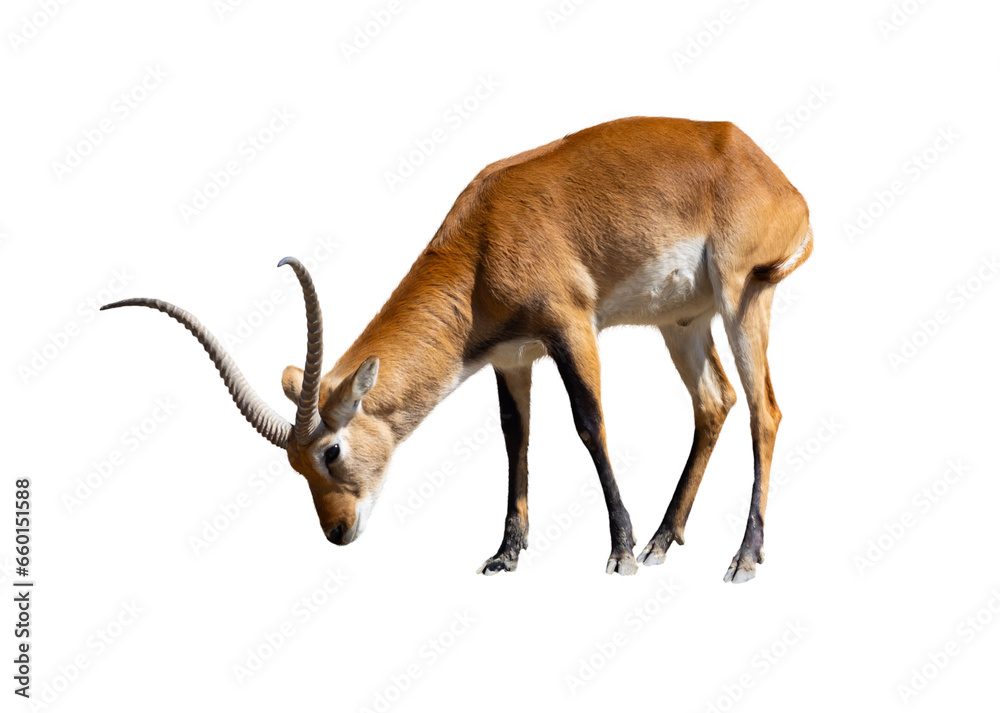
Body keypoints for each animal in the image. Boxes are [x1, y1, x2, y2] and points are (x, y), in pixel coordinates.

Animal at [103, 116, 811, 581]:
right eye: (294, 467)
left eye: (330, 451)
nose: (337, 532)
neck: (485, 236)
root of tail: (775, 175)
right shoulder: (512, 357)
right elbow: (515, 438)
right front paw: (505, 554)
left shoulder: (572, 328)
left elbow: (588, 424)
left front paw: (619, 552)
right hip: (683, 321)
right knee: (715, 402)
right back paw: (666, 542)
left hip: (742, 297)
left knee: (765, 410)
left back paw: (742, 558)